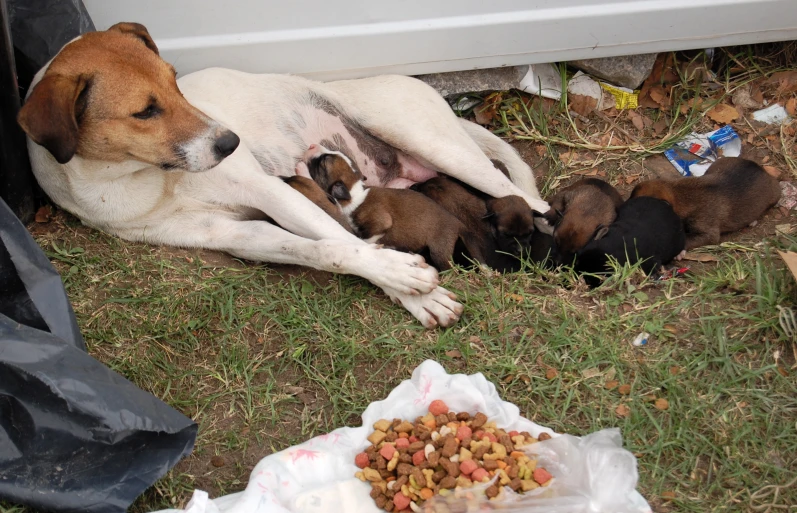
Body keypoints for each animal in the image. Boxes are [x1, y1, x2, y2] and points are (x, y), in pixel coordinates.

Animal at [17, 23, 548, 328]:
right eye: (144, 111)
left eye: (175, 81)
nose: (230, 143)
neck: (147, 181)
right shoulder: (233, 234)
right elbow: (330, 249)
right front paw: (404, 281)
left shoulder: (268, 190)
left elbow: (343, 239)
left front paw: (413, 287)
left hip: (434, 143)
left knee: (525, 199)